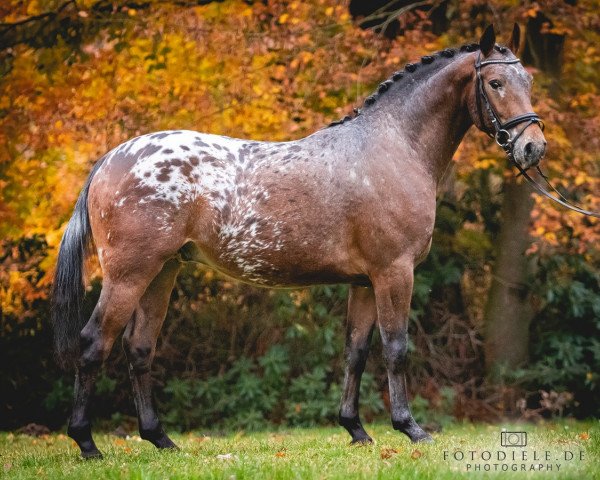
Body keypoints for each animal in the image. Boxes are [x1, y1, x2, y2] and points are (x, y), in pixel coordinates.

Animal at [54, 24, 548, 460]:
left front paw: (356, 430)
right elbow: (395, 348)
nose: (533, 148)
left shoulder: (364, 282)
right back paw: (87, 444)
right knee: (94, 343)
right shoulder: (394, 272)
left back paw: (161, 440)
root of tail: (112, 159)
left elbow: (355, 351)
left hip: (163, 272)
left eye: (527, 81)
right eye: (496, 83)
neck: (395, 147)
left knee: (139, 349)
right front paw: (411, 429)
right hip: (129, 274)